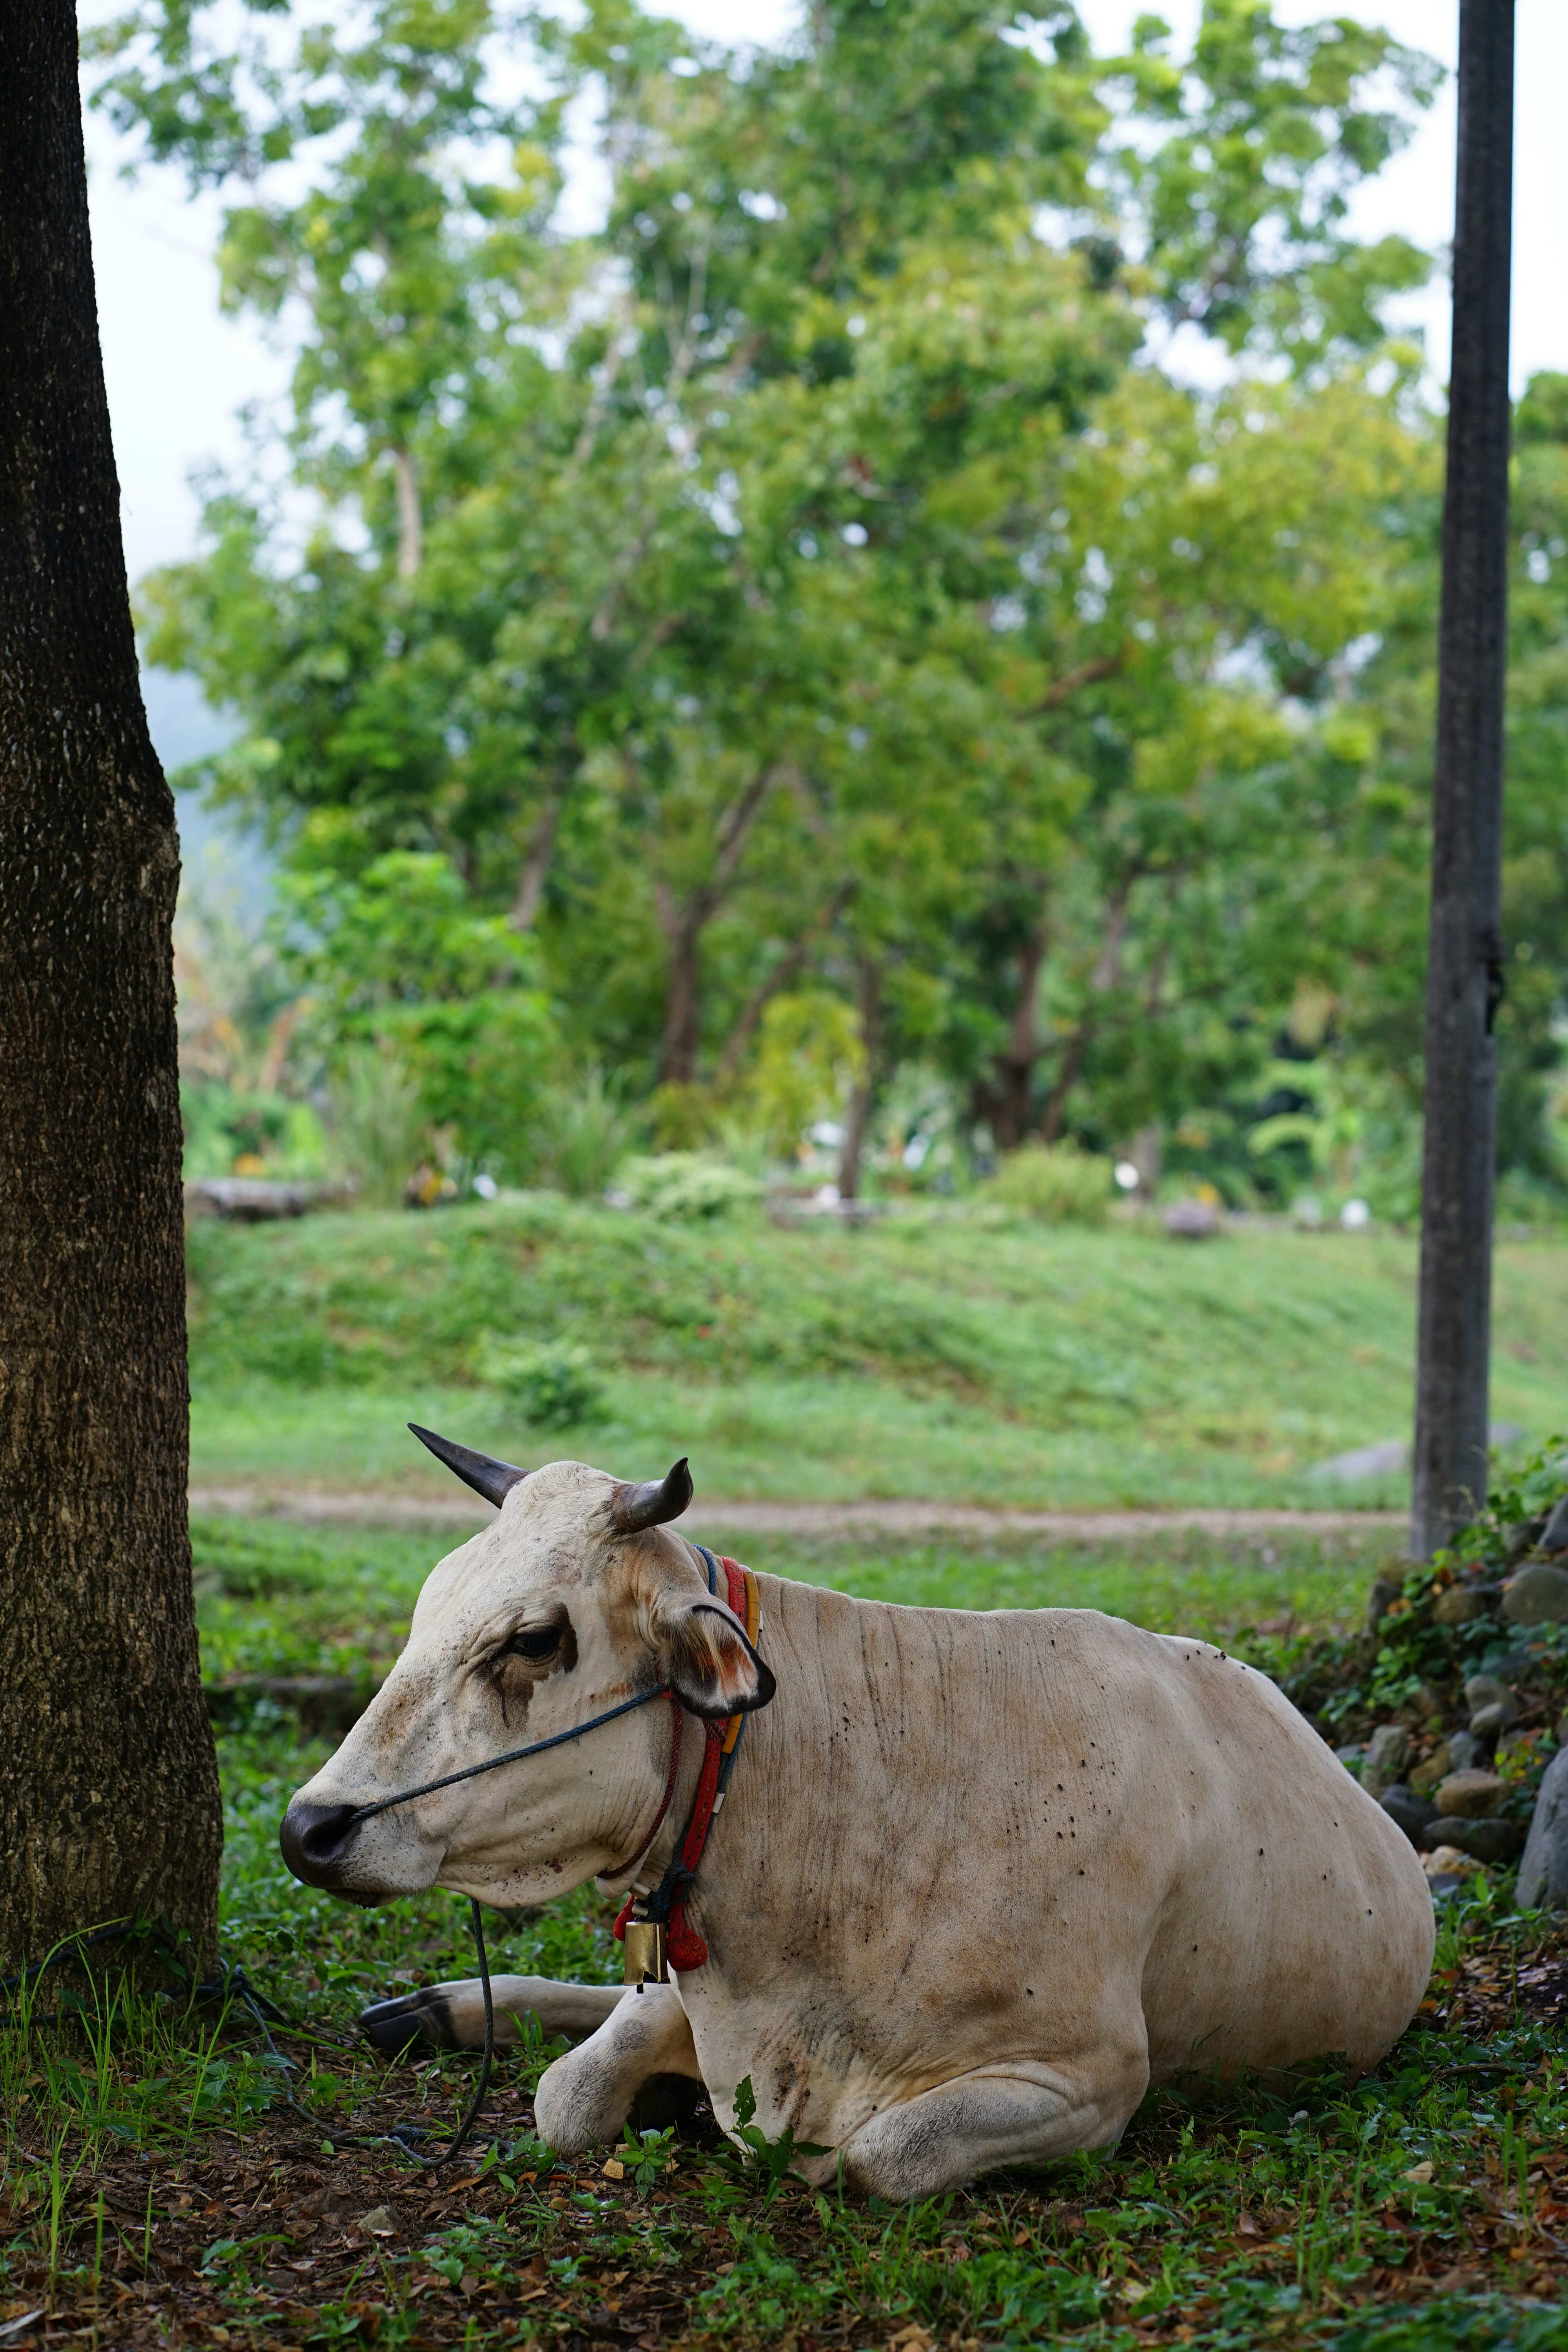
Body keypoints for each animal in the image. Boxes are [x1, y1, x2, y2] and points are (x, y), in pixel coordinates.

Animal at [279, 1433, 1435, 2202]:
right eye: (429, 1605)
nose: (310, 1829)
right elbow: (569, 2093)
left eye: (532, 1639)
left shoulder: (1092, 2079)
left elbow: (879, 2158)